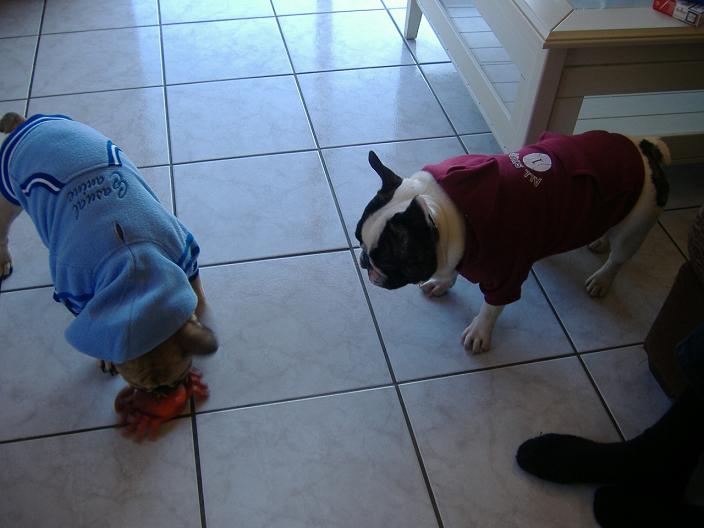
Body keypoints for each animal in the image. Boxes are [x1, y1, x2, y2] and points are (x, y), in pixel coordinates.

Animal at [0, 112, 218, 392]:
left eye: (180, 376)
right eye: (139, 388)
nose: (162, 395)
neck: (134, 258)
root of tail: (27, 122)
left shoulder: (184, 253)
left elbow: (196, 293)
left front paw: (198, 317)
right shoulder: (78, 293)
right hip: (7, 196)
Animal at [356, 130, 670, 354]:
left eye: (386, 260)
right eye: (358, 238)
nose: (363, 261)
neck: (454, 211)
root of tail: (644, 148)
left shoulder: (506, 274)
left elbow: (492, 306)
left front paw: (479, 332)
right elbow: (452, 271)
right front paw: (442, 283)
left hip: (637, 225)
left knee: (619, 256)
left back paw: (602, 279)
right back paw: (600, 241)